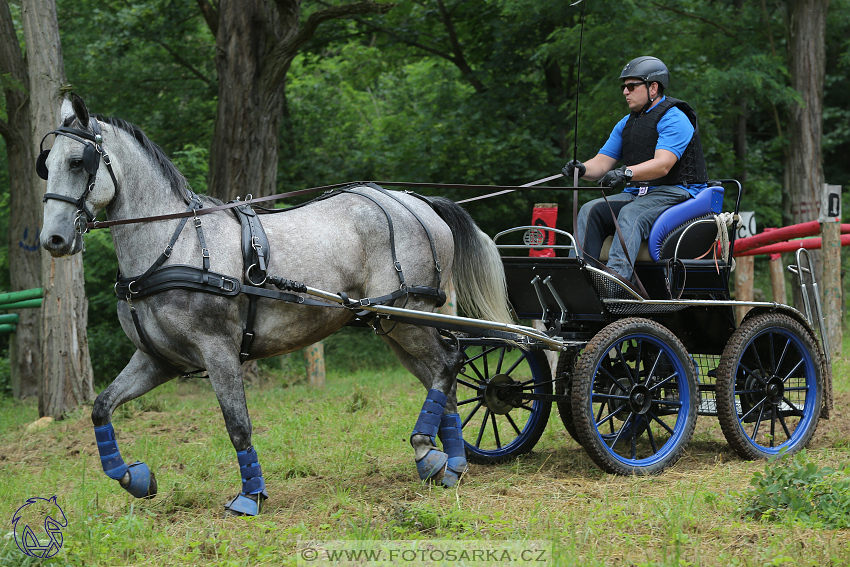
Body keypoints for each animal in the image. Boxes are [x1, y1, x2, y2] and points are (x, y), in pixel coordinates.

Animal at [38, 96, 510, 516]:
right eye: (47, 164)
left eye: (78, 162)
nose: (53, 240)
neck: (174, 246)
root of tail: (419, 203)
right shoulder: (159, 359)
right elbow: (101, 407)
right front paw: (134, 478)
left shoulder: (218, 351)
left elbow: (237, 425)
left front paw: (251, 496)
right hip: (396, 323)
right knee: (441, 379)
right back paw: (450, 463)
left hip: (409, 317)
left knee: (449, 362)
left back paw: (427, 451)